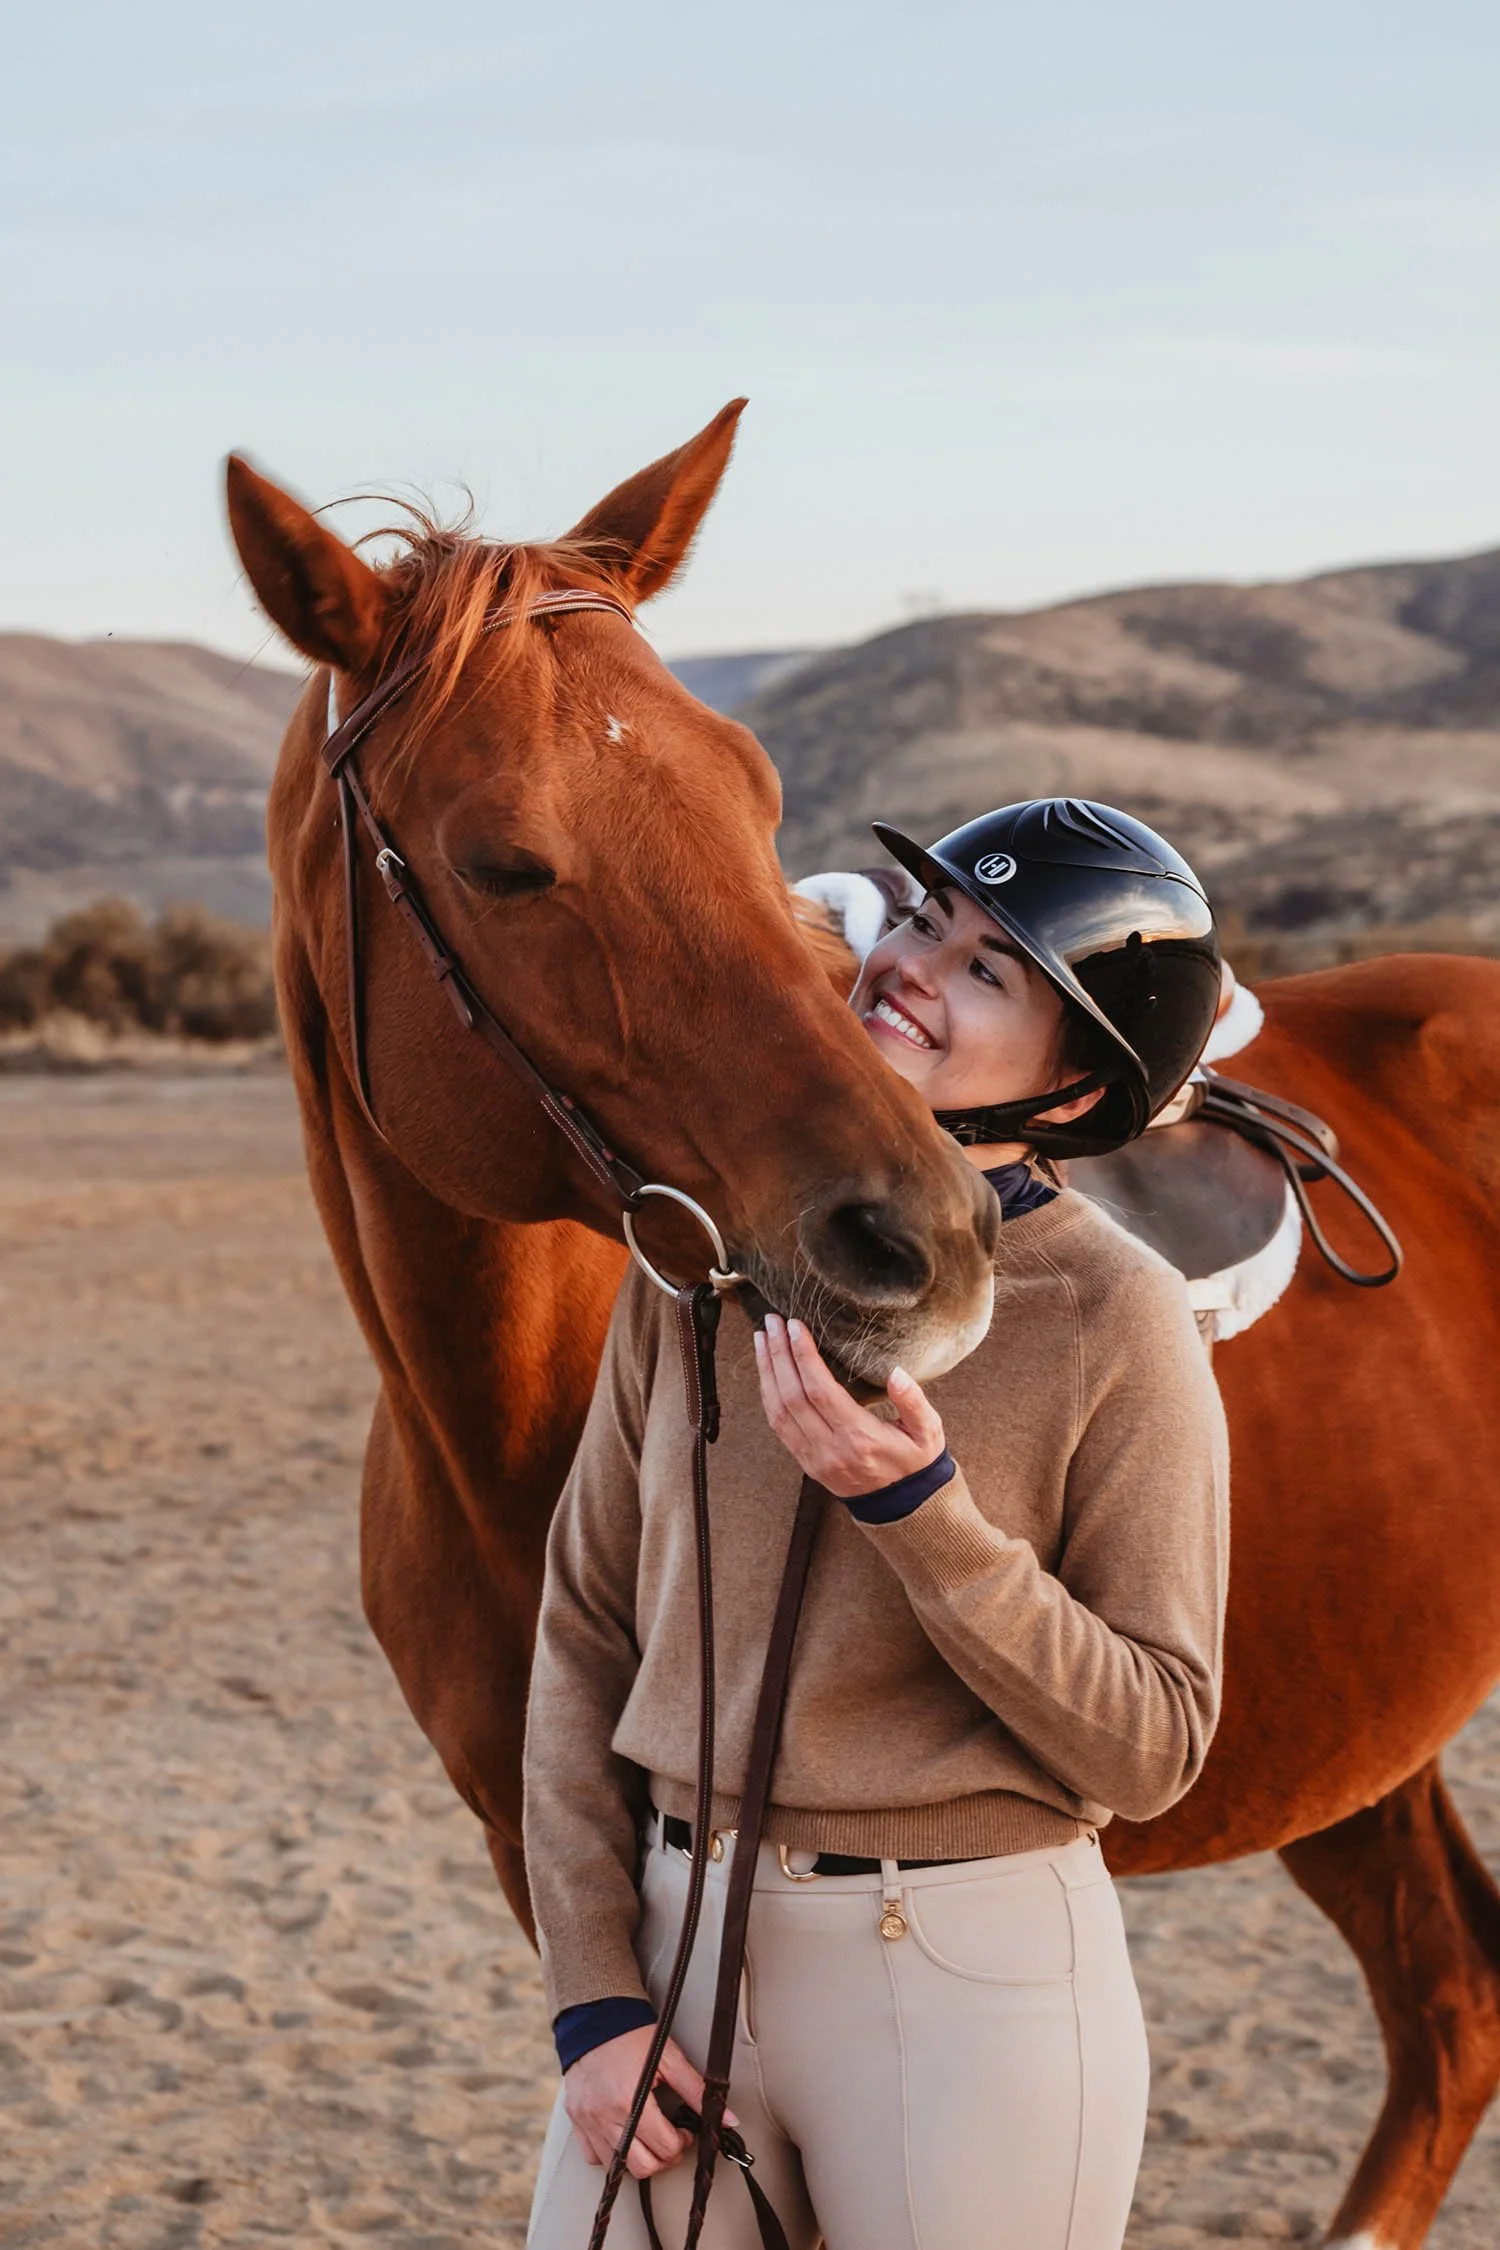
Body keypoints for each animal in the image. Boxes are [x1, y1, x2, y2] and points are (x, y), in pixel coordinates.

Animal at [229, 410, 1500, 2250]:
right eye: (502, 861)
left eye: (751, 790)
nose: (930, 1239)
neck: (499, 1434)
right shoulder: (570, 1889)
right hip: (1355, 1738)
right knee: (1452, 1996)